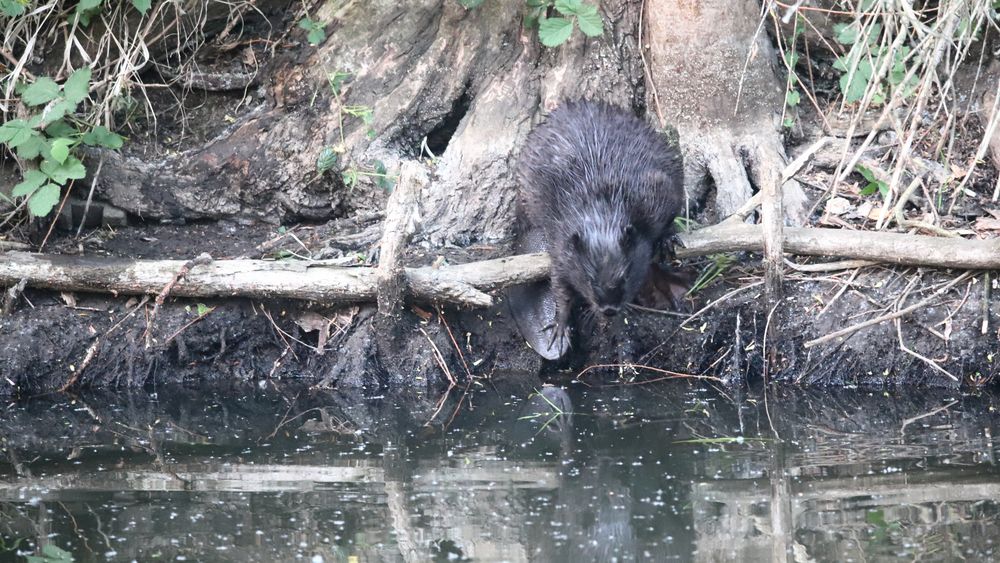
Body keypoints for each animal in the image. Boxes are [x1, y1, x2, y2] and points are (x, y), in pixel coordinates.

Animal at [512, 100, 684, 356]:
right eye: (591, 281)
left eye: (625, 277)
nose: (610, 310)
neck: (602, 210)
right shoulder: (561, 240)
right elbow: (560, 284)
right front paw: (559, 326)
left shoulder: (654, 193)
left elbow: (671, 206)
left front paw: (667, 240)